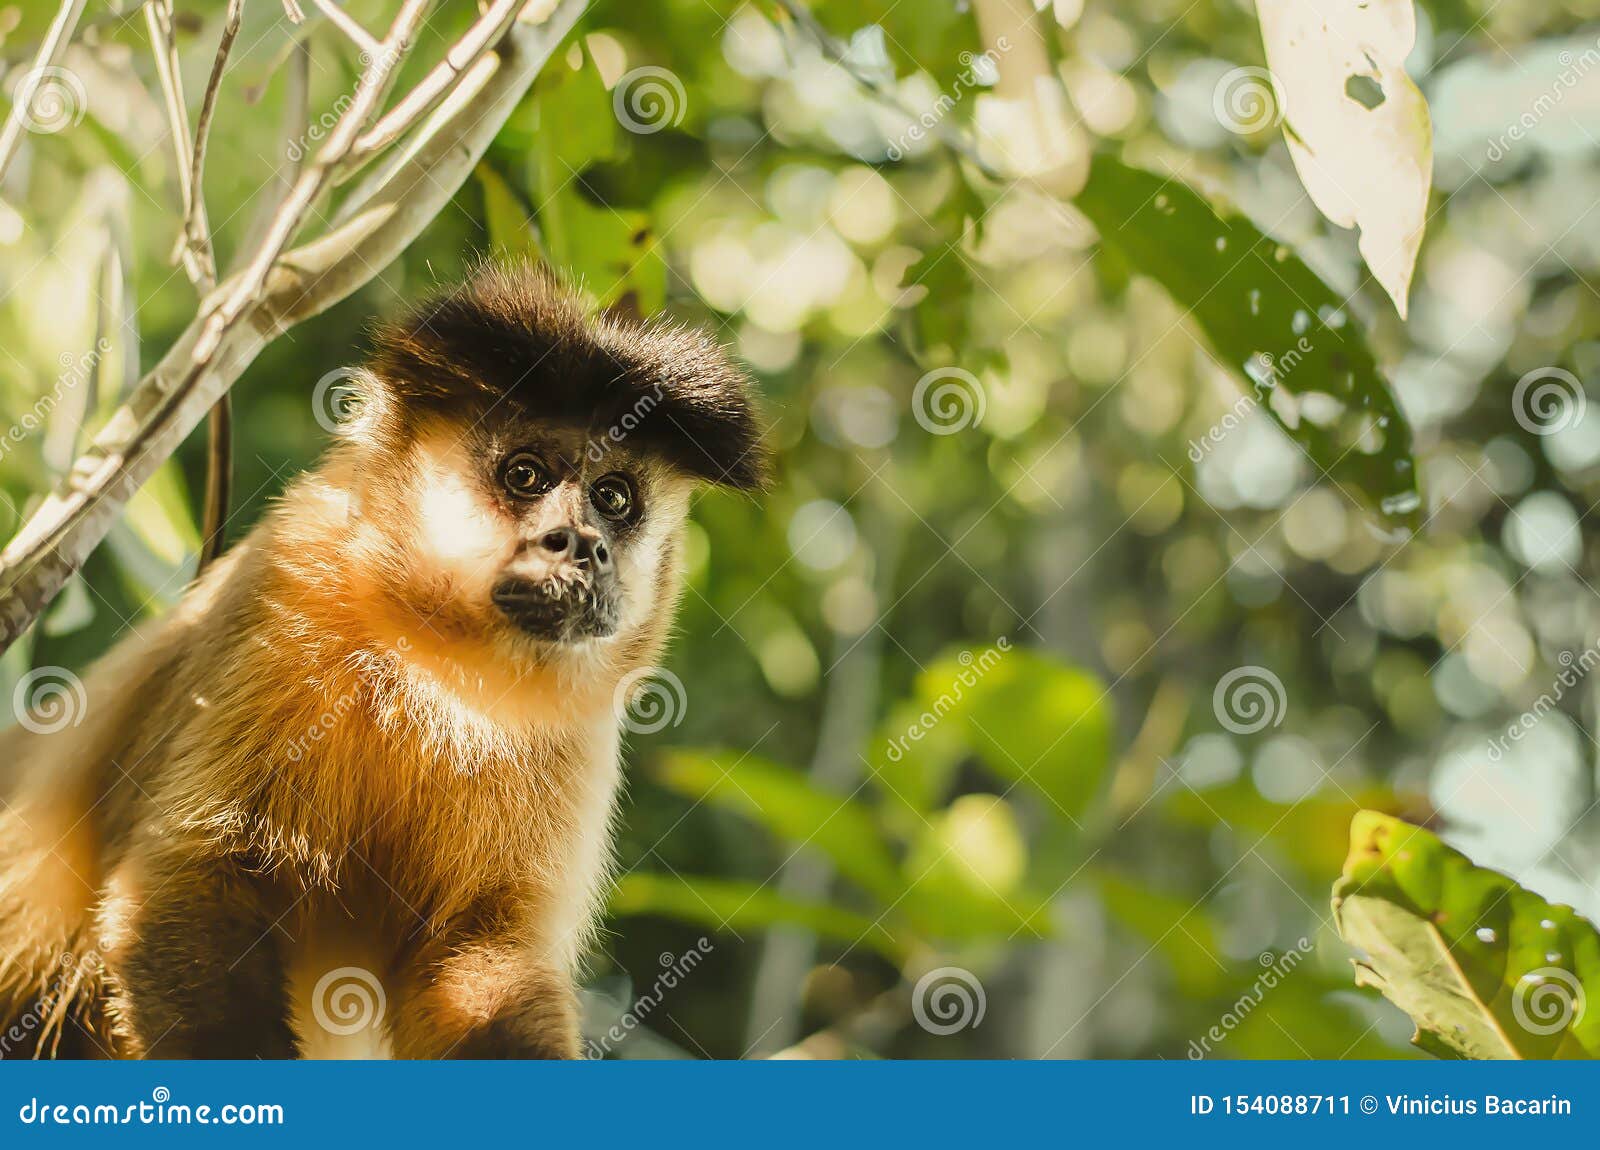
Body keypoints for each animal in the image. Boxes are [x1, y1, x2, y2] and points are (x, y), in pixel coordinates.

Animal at [0, 263, 768, 1062]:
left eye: (613, 498)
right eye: (525, 475)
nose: (582, 544)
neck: (433, 666)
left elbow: (474, 956)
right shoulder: (286, 584)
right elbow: (181, 884)